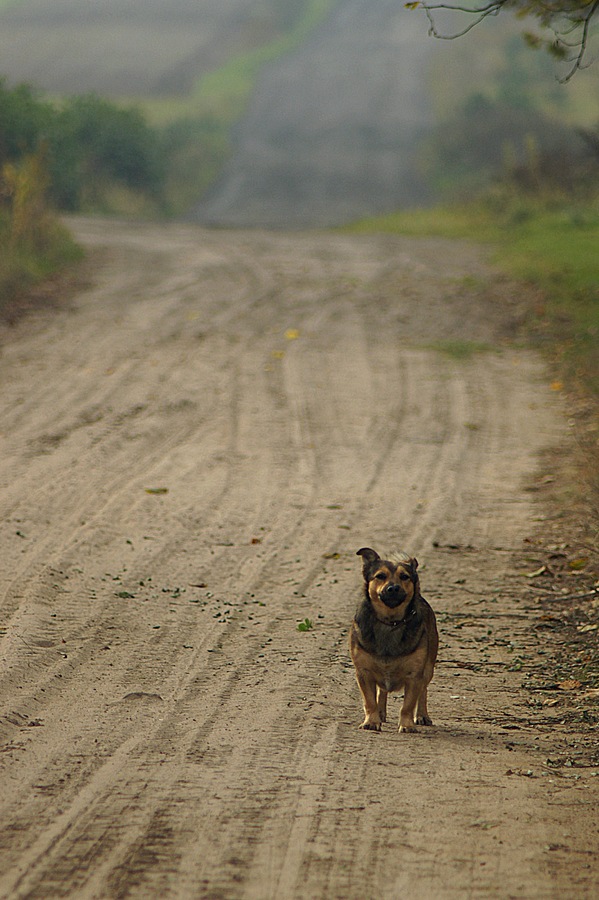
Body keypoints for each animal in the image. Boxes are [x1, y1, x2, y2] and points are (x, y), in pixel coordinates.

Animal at [350, 548, 438, 732]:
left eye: (404, 576)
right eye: (380, 576)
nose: (393, 588)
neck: (390, 622)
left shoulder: (415, 675)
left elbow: (408, 704)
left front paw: (407, 724)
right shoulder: (364, 672)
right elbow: (369, 701)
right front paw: (371, 721)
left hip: (428, 668)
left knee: (423, 691)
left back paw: (422, 715)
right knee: (381, 691)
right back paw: (381, 713)